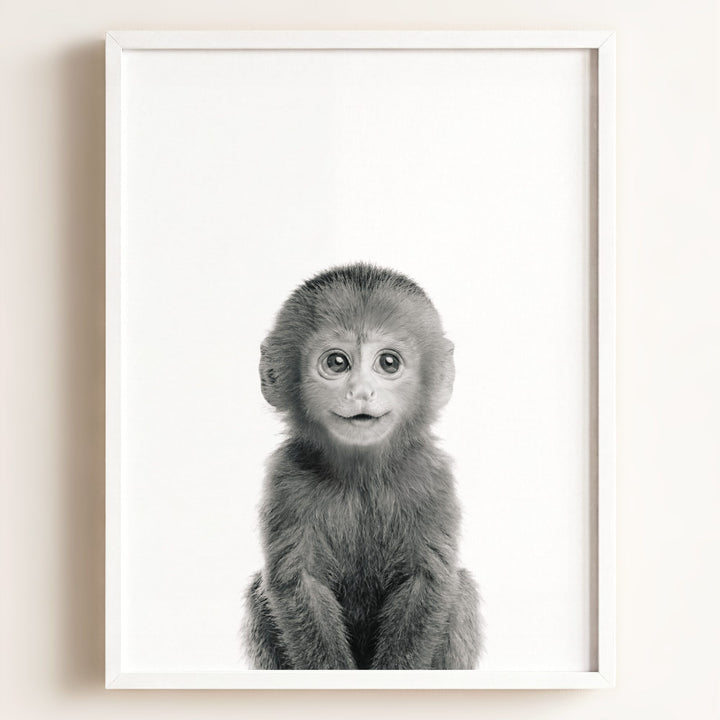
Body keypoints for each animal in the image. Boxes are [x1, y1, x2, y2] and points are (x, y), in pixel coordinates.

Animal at [243, 263, 482, 670]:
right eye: (337, 363)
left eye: (388, 363)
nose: (360, 392)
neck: (361, 477)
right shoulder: (286, 477)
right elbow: (298, 582)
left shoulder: (431, 476)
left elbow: (427, 581)